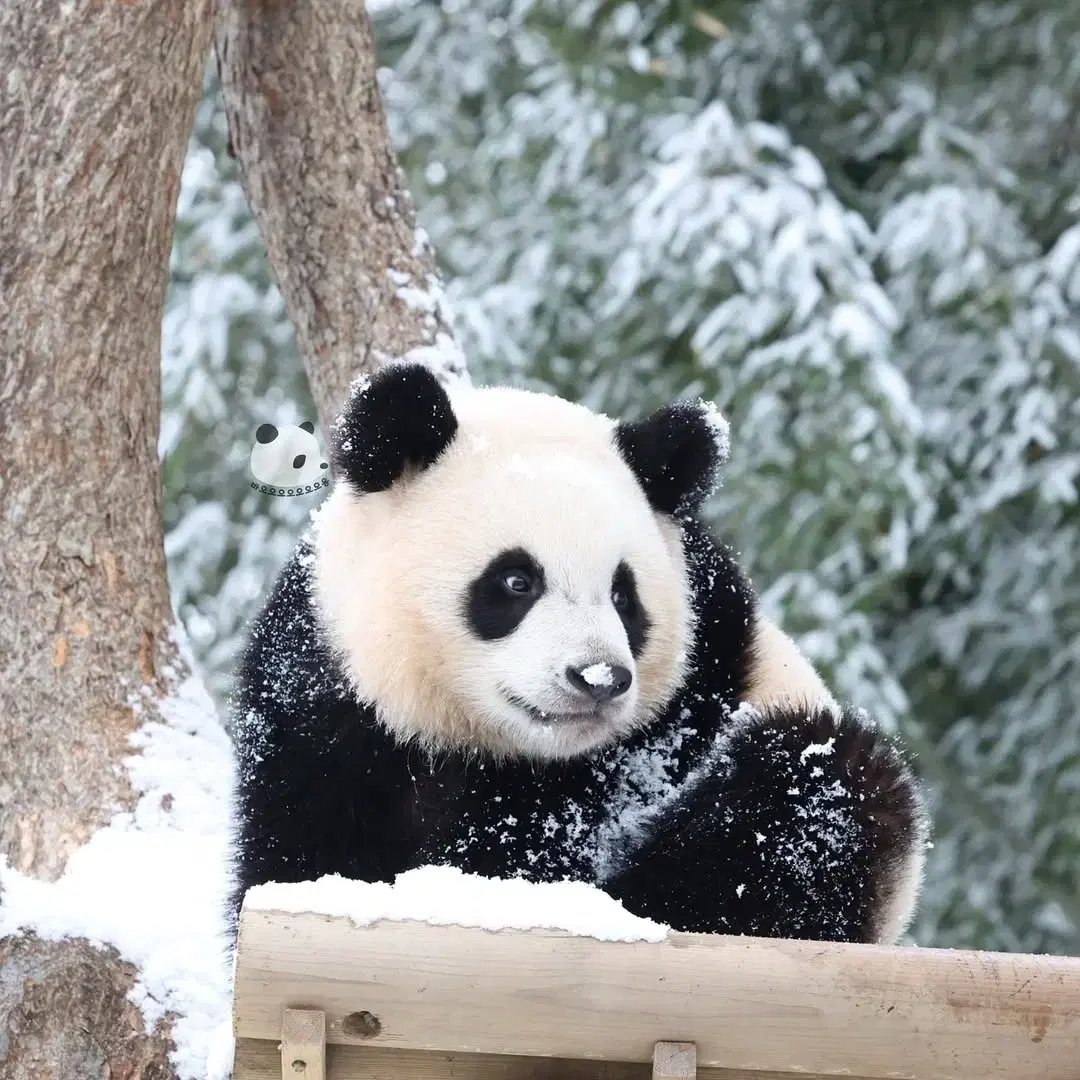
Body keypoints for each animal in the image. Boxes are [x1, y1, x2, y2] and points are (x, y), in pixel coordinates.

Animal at [230, 362, 928, 946]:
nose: (599, 679)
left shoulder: (685, 698)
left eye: (623, 595)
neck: (479, 744)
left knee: (816, 799)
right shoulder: (326, 709)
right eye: (517, 581)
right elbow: (300, 847)